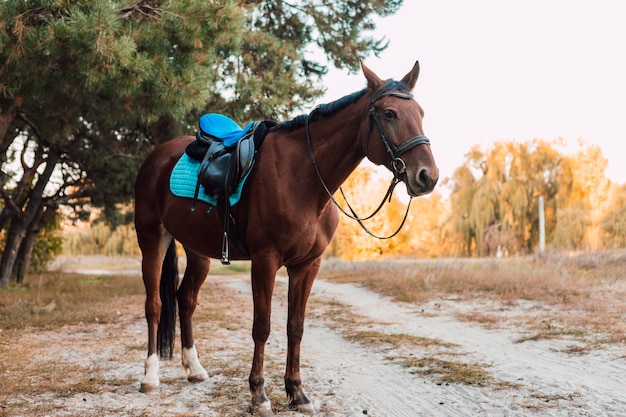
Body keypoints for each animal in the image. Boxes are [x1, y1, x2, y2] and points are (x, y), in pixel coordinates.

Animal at [133, 60, 434, 414]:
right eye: (389, 113)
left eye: (421, 112)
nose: (427, 176)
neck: (302, 175)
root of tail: (157, 157)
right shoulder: (265, 261)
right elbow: (262, 327)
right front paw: (258, 395)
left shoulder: (307, 265)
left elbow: (296, 327)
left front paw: (297, 393)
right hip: (152, 239)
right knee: (154, 304)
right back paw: (150, 377)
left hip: (197, 251)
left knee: (186, 299)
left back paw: (194, 369)